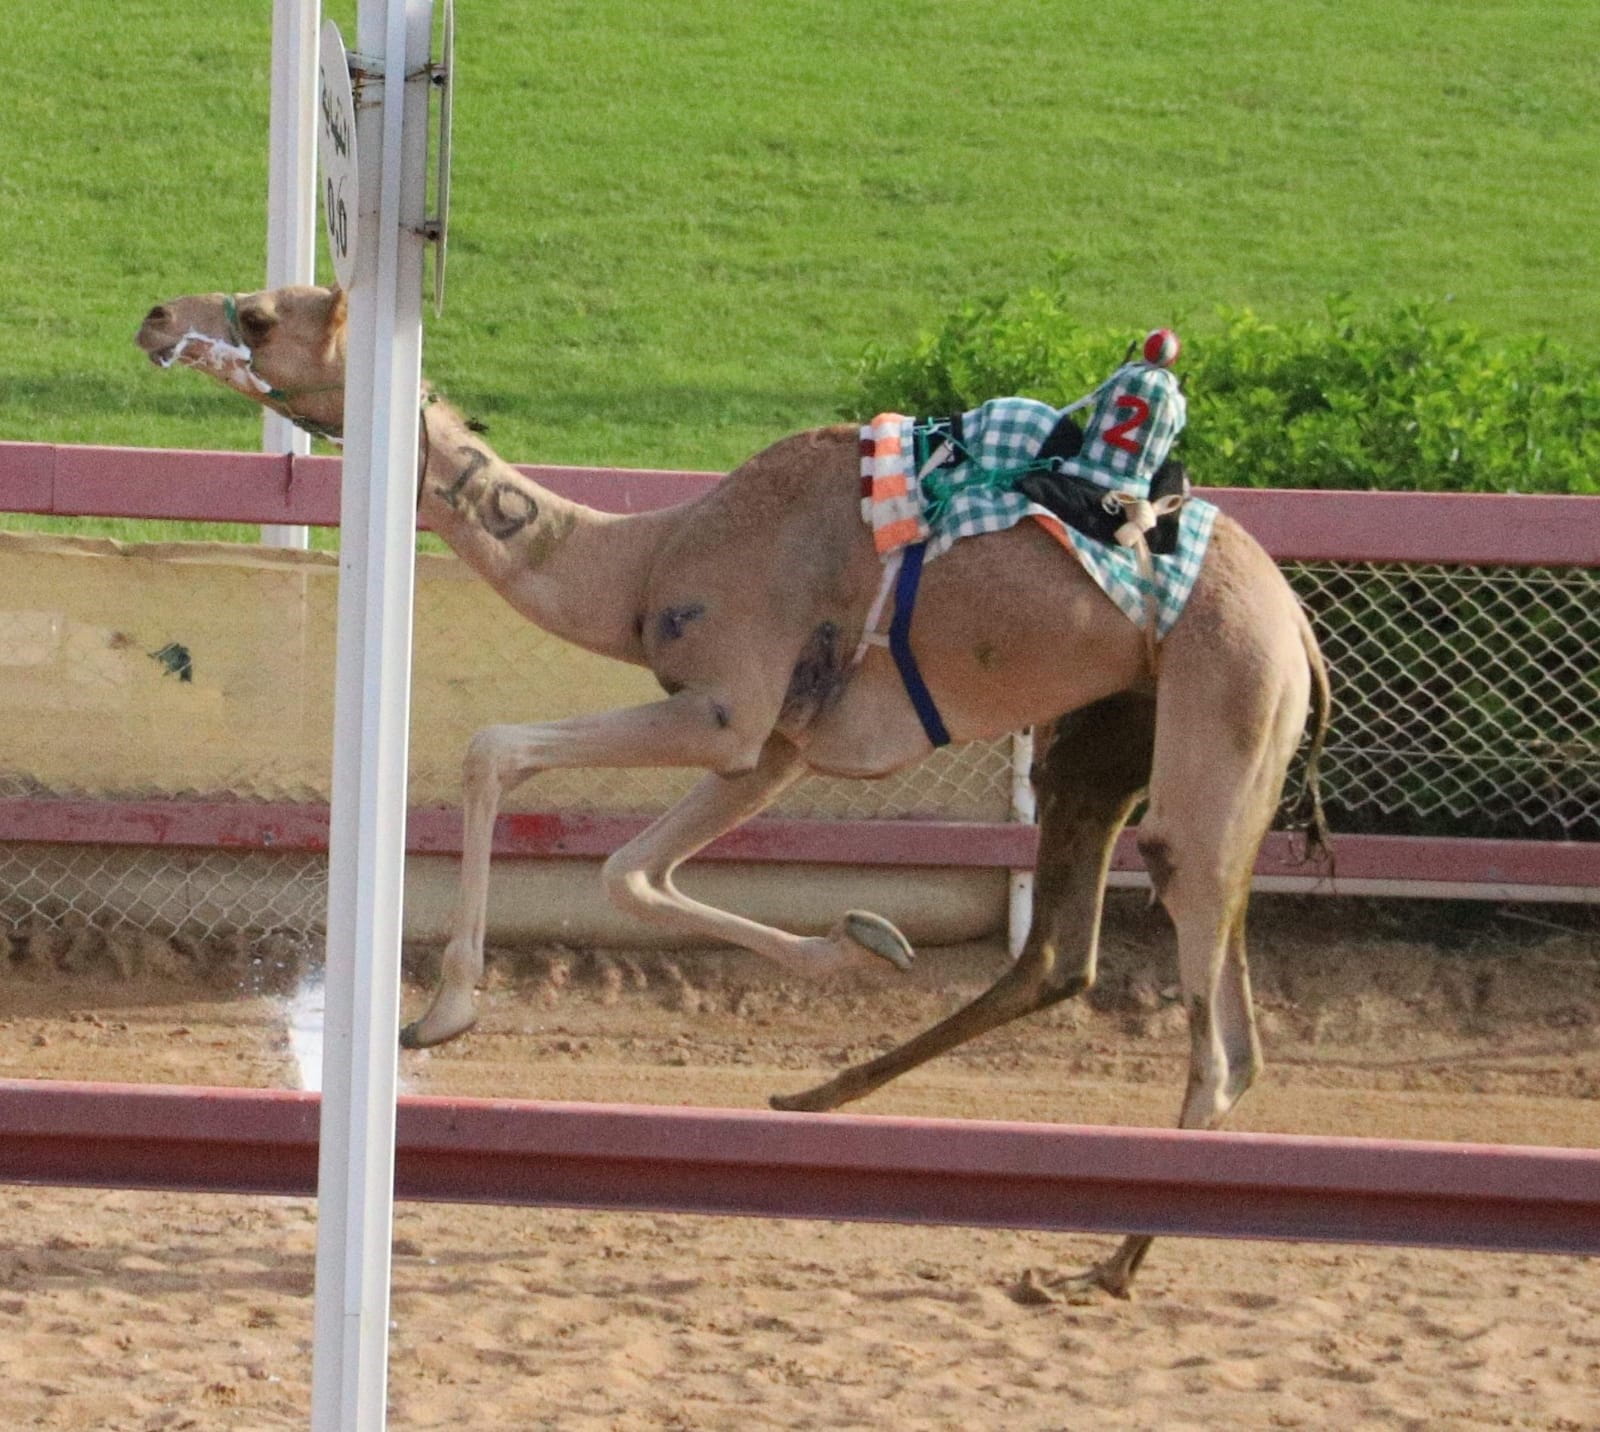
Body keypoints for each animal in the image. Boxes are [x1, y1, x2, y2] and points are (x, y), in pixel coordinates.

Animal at [136, 283, 1329, 1299]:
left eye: (260, 314)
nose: (153, 316)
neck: (644, 559)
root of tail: (1305, 634)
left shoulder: (727, 704)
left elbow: (494, 749)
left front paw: (440, 1013)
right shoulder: (776, 744)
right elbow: (629, 869)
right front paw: (859, 943)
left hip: (1224, 713)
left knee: (1220, 1024)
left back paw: (1110, 1260)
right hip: (1103, 733)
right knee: (1064, 949)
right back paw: (824, 1098)